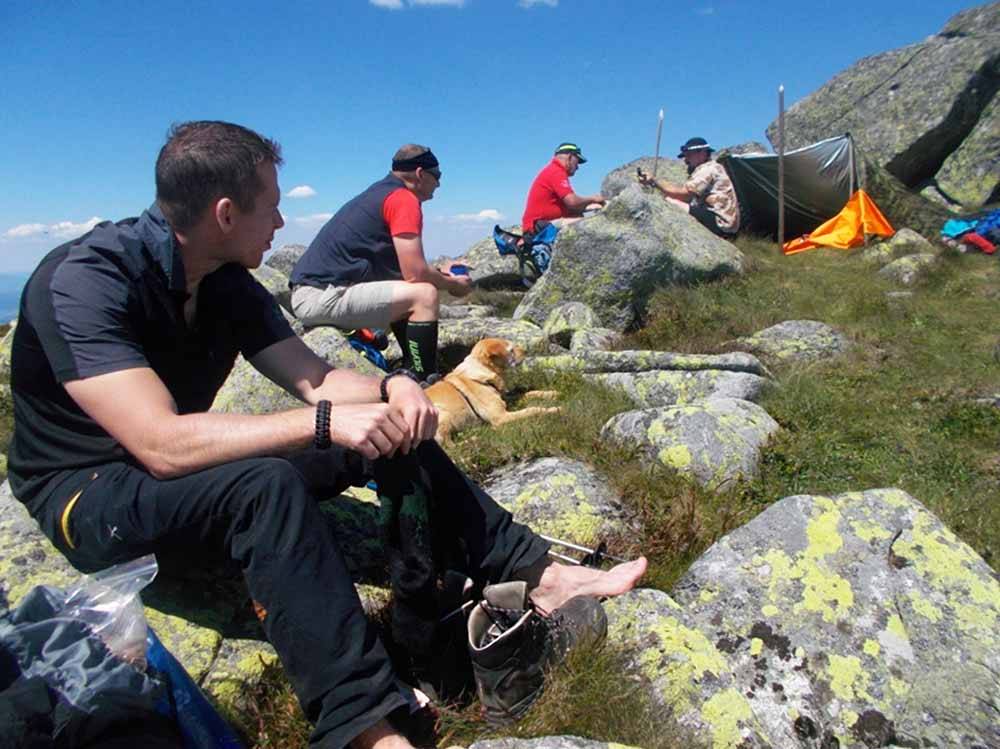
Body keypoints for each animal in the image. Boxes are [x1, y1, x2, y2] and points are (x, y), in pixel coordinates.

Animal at [424, 338, 560, 444]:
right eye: (511, 350)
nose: (526, 351)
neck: (482, 372)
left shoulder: (505, 398)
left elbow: (528, 393)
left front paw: (553, 393)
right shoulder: (501, 416)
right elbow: (532, 410)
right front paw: (553, 409)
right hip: (440, 414)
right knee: (450, 446)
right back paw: (476, 438)